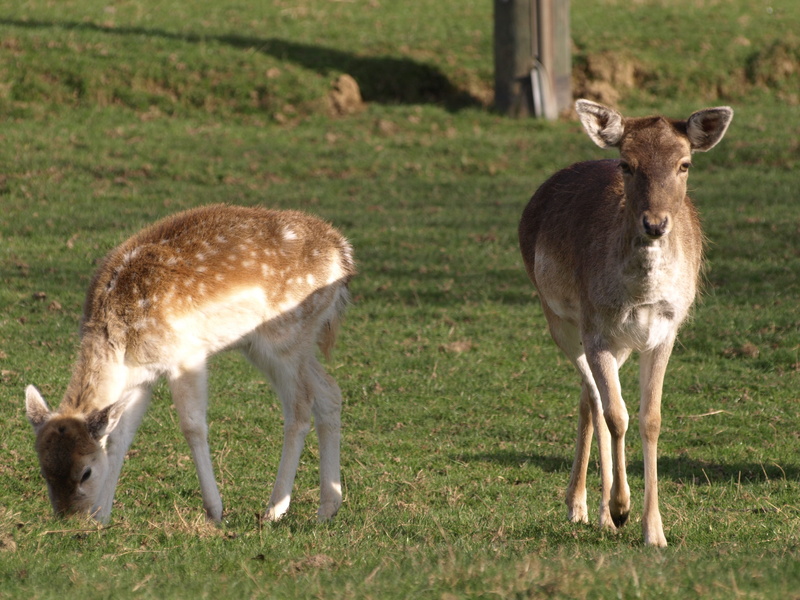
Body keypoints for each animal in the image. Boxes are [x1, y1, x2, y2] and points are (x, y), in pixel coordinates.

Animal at [24, 204, 355, 525]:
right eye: (43, 469)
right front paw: (102, 517)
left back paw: (274, 509)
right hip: (281, 345)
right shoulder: (142, 376)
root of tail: (343, 255)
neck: (119, 343)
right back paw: (327, 508)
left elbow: (193, 426)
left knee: (300, 407)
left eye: (86, 472)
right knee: (329, 391)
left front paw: (215, 511)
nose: (68, 518)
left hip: (284, 339)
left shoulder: (186, 356)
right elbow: (120, 436)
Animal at [518, 99, 733, 546]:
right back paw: (585, 507)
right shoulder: (595, 328)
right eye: (626, 164)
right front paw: (621, 508)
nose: (655, 224)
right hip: (560, 319)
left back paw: (591, 510)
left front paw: (654, 531)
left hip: (620, 344)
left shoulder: (666, 330)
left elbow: (651, 419)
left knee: (589, 398)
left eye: (685, 164)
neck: (640, 295)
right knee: (595, 397)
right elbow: (617, 414)